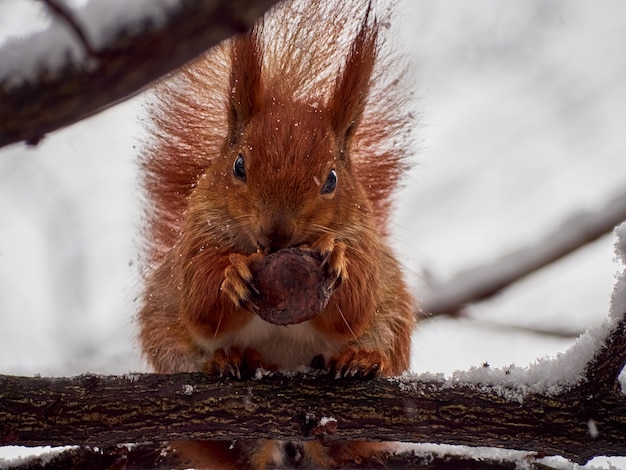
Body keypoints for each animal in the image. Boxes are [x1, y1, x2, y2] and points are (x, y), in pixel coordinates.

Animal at [140, 0, 416, 466]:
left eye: (331, 179)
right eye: (238, 165)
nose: (277, 232)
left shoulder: (366, 243)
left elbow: (358, 300)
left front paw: (334, 255)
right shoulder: (195, 241)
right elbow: (199, 298)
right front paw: (231, 273)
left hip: (394, 318)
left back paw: (361, 359)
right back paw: (235, 359)